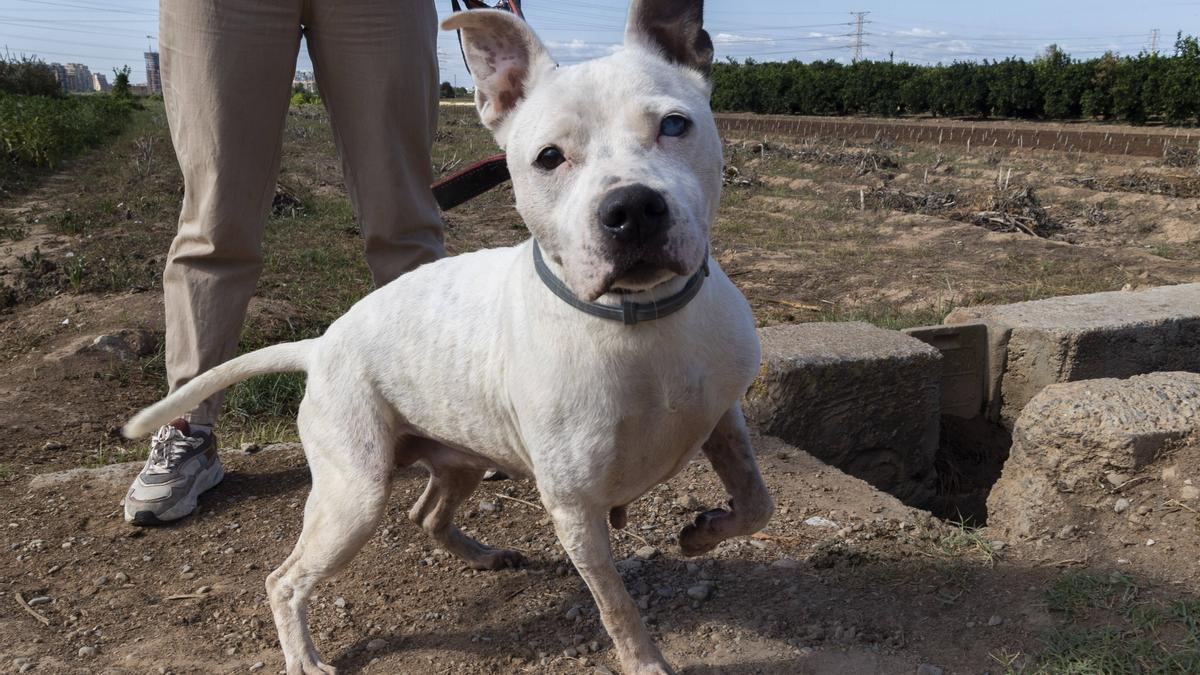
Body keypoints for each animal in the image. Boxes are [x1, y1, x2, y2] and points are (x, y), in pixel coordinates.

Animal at [126, 2, 772, 667]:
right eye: (549, 157)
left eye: (674, 125)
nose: (633, 209)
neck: (642, 323)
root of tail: (321, 344)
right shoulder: (575, 512)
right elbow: (617, 607)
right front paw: (646, 663)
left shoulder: (724, 421)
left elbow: (756, 503)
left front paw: (704, 533)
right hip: (353, 498)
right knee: (286, 578)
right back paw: (303, 657)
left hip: (455, 458)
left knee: (424, 514)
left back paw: (484, 555)